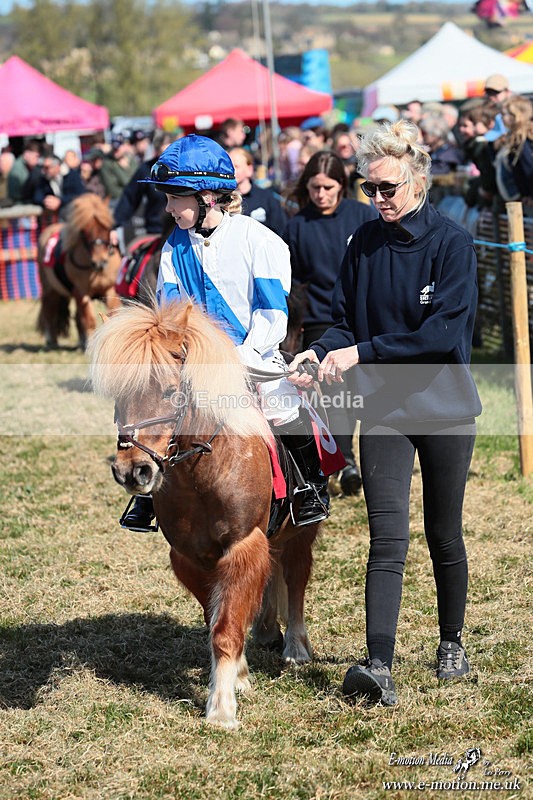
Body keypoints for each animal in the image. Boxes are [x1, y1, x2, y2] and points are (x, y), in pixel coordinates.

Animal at [37, 193, 122, 349]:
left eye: (107, 228)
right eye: (84, 231)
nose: (100, 261)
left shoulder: (110, 290)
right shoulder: (82, 293)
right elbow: (88, 320)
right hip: (50, 289)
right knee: (49, 311)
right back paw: (52, 340)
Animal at [88, 299, 320, 729]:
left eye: (169, 390)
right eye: (119, 395)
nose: (132, 471)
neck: (203, 473)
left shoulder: (242, 545)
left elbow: (226, 627)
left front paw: (222, 706)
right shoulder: (189, 557)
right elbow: (219, 616)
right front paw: (240, 675)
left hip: (301, 532)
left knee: (295, 579)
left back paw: (296, 647)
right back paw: (267, 630)